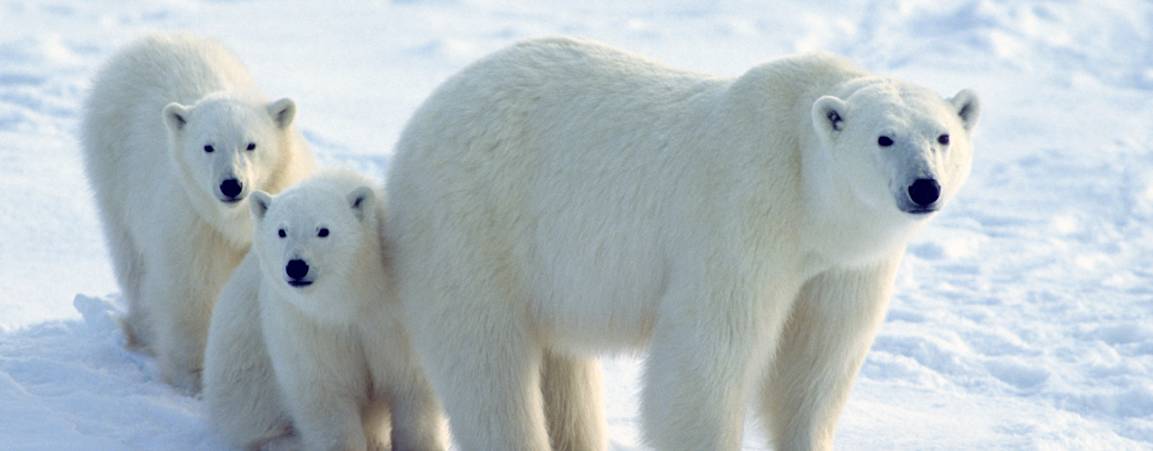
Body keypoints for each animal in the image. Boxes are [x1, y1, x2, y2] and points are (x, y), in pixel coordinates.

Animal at [80, 33, 315, 393]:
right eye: (208, 146)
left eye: (251, 144)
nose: (231, 185)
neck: (232, 221)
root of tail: (148, 40)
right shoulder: (191, 222)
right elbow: (189, 291)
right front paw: (193, 378)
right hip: (111, 168)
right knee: (131, 257)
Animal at [203, 169, 447, 451]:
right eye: (281, 231)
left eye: (323, 230)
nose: (297, 266)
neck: (354, 296)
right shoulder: (308, 326)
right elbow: (326, 396)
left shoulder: (393, 316)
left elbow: (413, 385)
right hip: (243, 390)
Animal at [384, 37, 979, 451]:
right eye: (884, 137)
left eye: (943, 135)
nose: (923, 187)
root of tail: (423, 117)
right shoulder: (744, 215)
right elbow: (710, 352)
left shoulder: (846, 267)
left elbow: (819, 361)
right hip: (474, 224)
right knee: (487, 362)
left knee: (562, 368)